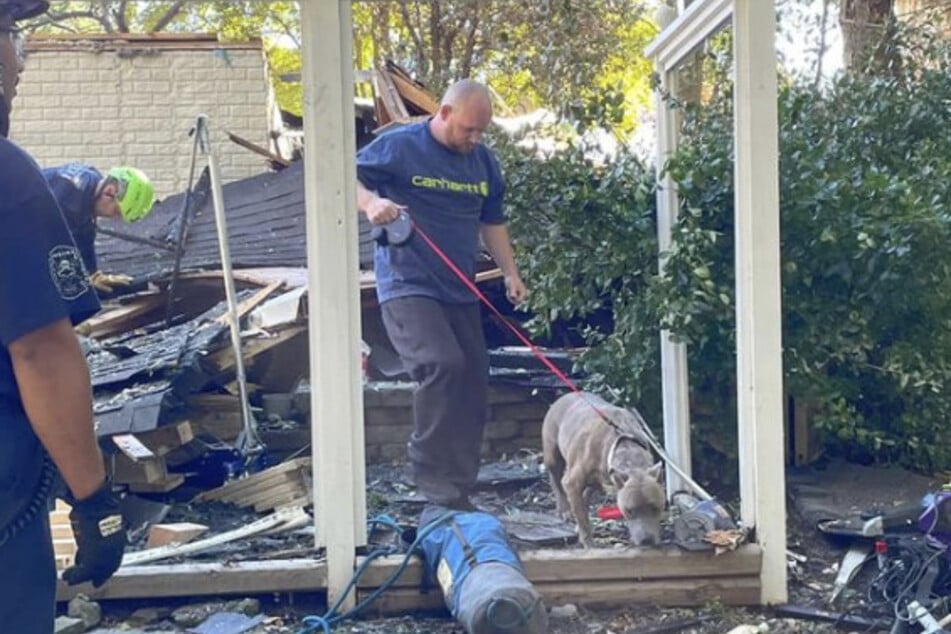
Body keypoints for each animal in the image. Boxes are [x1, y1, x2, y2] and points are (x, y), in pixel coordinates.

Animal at [540, 388, 664, 544]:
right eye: (628, 511)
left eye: (656, 508)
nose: (646, 541)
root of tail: (564, 396)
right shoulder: (572, 482)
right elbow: (583, 521)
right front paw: (588, 542)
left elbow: (583, 504)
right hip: (552, 452)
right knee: (555, 478)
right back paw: (564, 509)